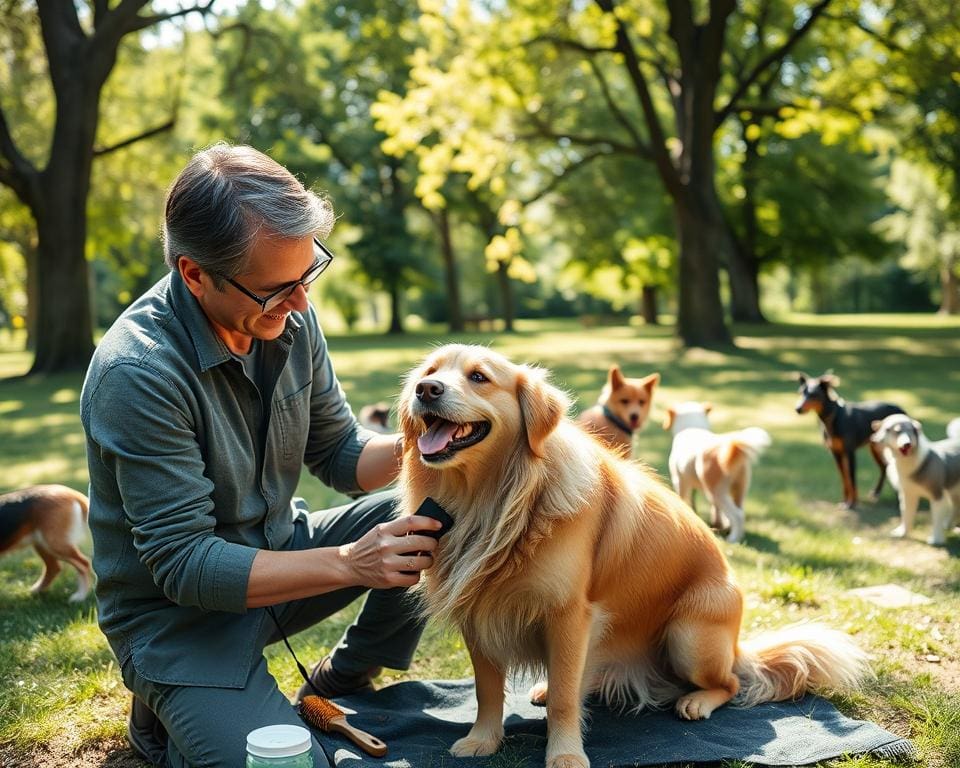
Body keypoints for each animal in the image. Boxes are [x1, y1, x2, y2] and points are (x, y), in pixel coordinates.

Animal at [792, 374, 904, 510]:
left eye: (813, 394)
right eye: (800, 392)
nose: (798, 409)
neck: (834, 417)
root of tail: (902, 410)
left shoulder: (850, 452)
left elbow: (851, 477)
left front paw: (852, 503)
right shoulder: (836, 453)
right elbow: (844, 478)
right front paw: (845, 501)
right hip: (875, 447)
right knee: (885, 466)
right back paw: (876, 492)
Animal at [872, 414, 960, 544]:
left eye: (911, 431)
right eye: (894, 431)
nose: (907, 444)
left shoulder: (937, 495)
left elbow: (936, 519)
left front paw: (936, 539)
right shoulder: (908, 494)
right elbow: (907, 514)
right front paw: (902, 533)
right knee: (956, 506)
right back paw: (948, 525)